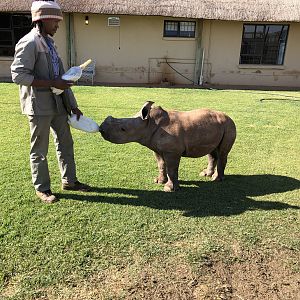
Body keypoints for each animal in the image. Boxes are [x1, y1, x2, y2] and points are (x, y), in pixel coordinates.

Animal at [99, 102, 236, 192]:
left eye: (123, 129)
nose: (101, 129)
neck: (148, 124)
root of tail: (229, 117)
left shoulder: (172, 151)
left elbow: (171, 168)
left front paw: (169, 188)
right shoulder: (157, 148)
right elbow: (161, 164)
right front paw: (159, 181)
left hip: (229, 125)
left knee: (222, 153)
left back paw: (216, 179)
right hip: (216, 126)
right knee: (212, 152)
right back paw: (205, 174)